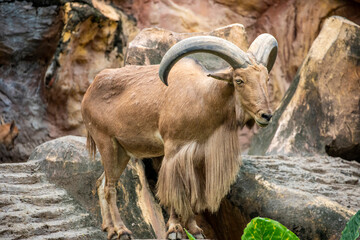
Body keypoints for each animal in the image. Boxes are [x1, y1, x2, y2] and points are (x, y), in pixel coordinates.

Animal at [81, 33, 278, 240]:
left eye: (266, 79)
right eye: (239, 80)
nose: (266, 115)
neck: (203, 97)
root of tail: (90, 90)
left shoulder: (197, 156)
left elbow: (189, 193)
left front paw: (195, 230)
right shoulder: (173, 149)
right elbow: (175, 190)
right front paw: (175, 229)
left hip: (122, 151)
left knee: (101, 183)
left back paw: (109, 228)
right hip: (106, 142)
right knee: (110, 187)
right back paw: (121, 230)